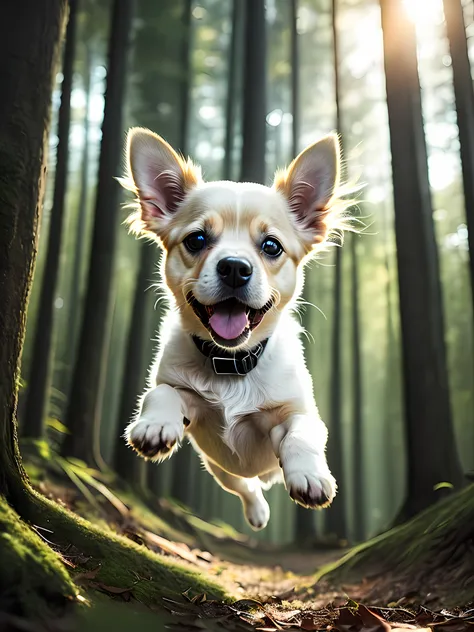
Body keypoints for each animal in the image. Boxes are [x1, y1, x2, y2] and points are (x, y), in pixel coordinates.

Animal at [121, 127, 352, 528]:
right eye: (197, 239)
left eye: (271, 246)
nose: (233, 267)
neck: (233, 363)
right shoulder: (187, 401)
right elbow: (161, 392)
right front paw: (154, 425)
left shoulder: (298, 413)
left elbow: (302, 432)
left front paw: (310, 475)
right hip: (220, 469)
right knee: (246, 486)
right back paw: (258, 510)